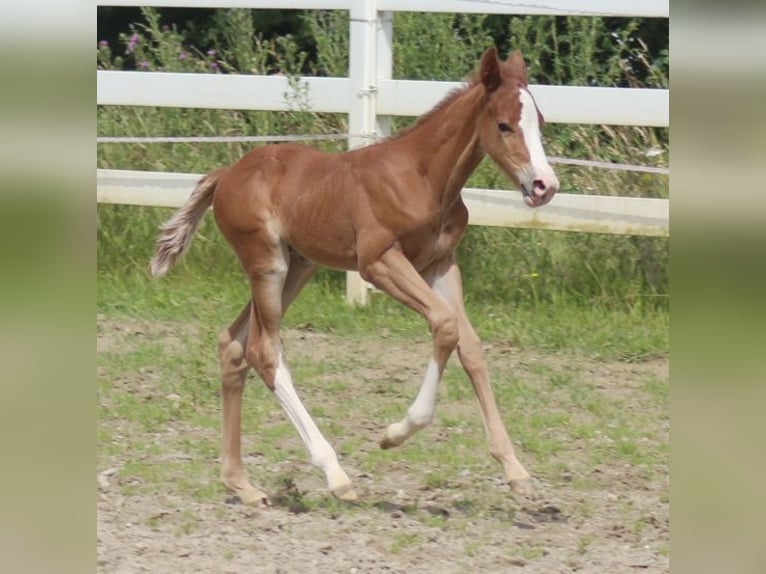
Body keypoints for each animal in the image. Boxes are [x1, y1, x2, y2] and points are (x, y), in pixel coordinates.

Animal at [152, 48, 560, 508]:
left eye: (540, 122)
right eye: (504, 124)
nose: (544, 186)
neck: (422, 177)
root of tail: (225, 175)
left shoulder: (440, 263)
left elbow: (470, 346)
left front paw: (515, 469)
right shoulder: (379, 262)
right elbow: (445, 325)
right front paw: (393, 434)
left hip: (299, 266)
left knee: (233, 345)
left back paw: (242, 484)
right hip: (267, 264)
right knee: (264, 351)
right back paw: (335, 475)